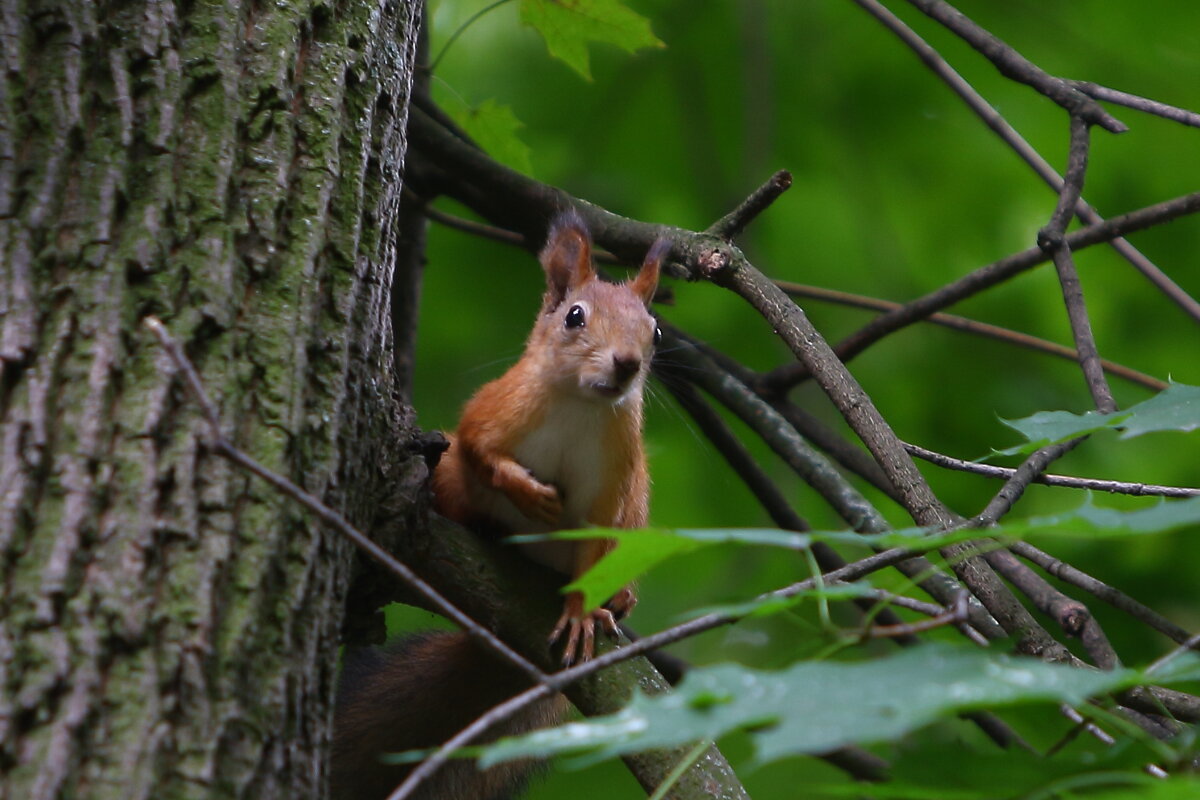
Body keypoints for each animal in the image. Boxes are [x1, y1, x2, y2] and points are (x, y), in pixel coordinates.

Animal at [331, 212, 667, 800]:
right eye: (574, 316)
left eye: (655, 331)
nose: (627, 364)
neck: (582, 407)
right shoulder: (493, 410)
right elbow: (479, 451)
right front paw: (529, 493)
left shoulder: (615, 485)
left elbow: (596, 537)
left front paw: (584, 610)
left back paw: (617, 601)